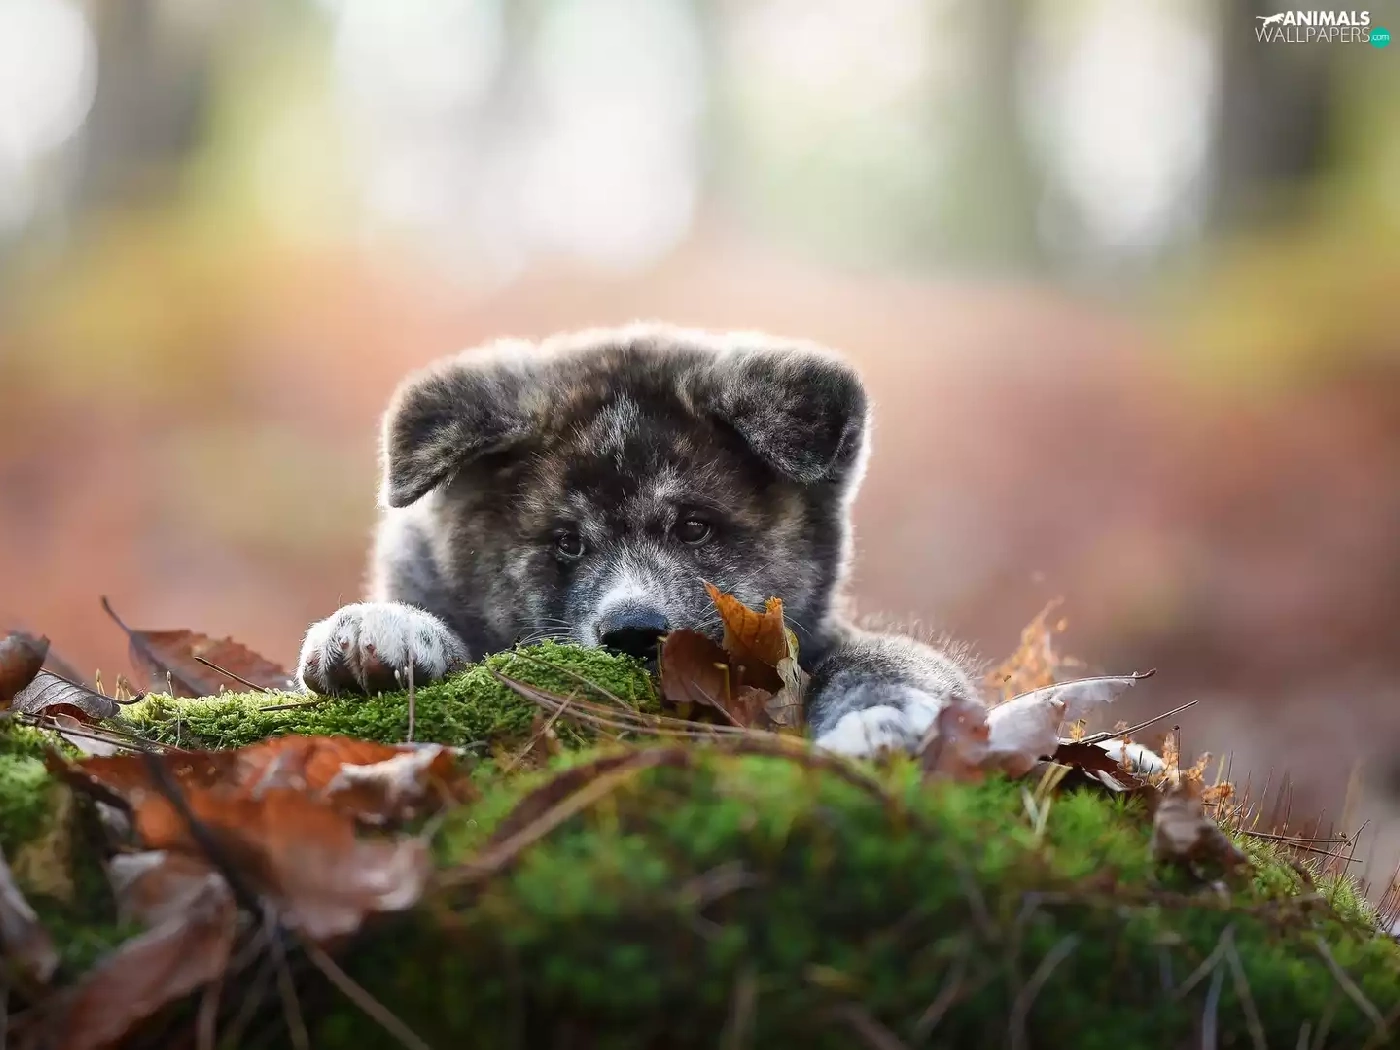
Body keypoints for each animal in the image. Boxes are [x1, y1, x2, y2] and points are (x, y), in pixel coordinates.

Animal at [296, 324, 982, 756]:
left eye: (695, 528)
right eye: (567, 541)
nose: (632, 633)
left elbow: (888, 657)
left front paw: (881, 715)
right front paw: (383, 628)